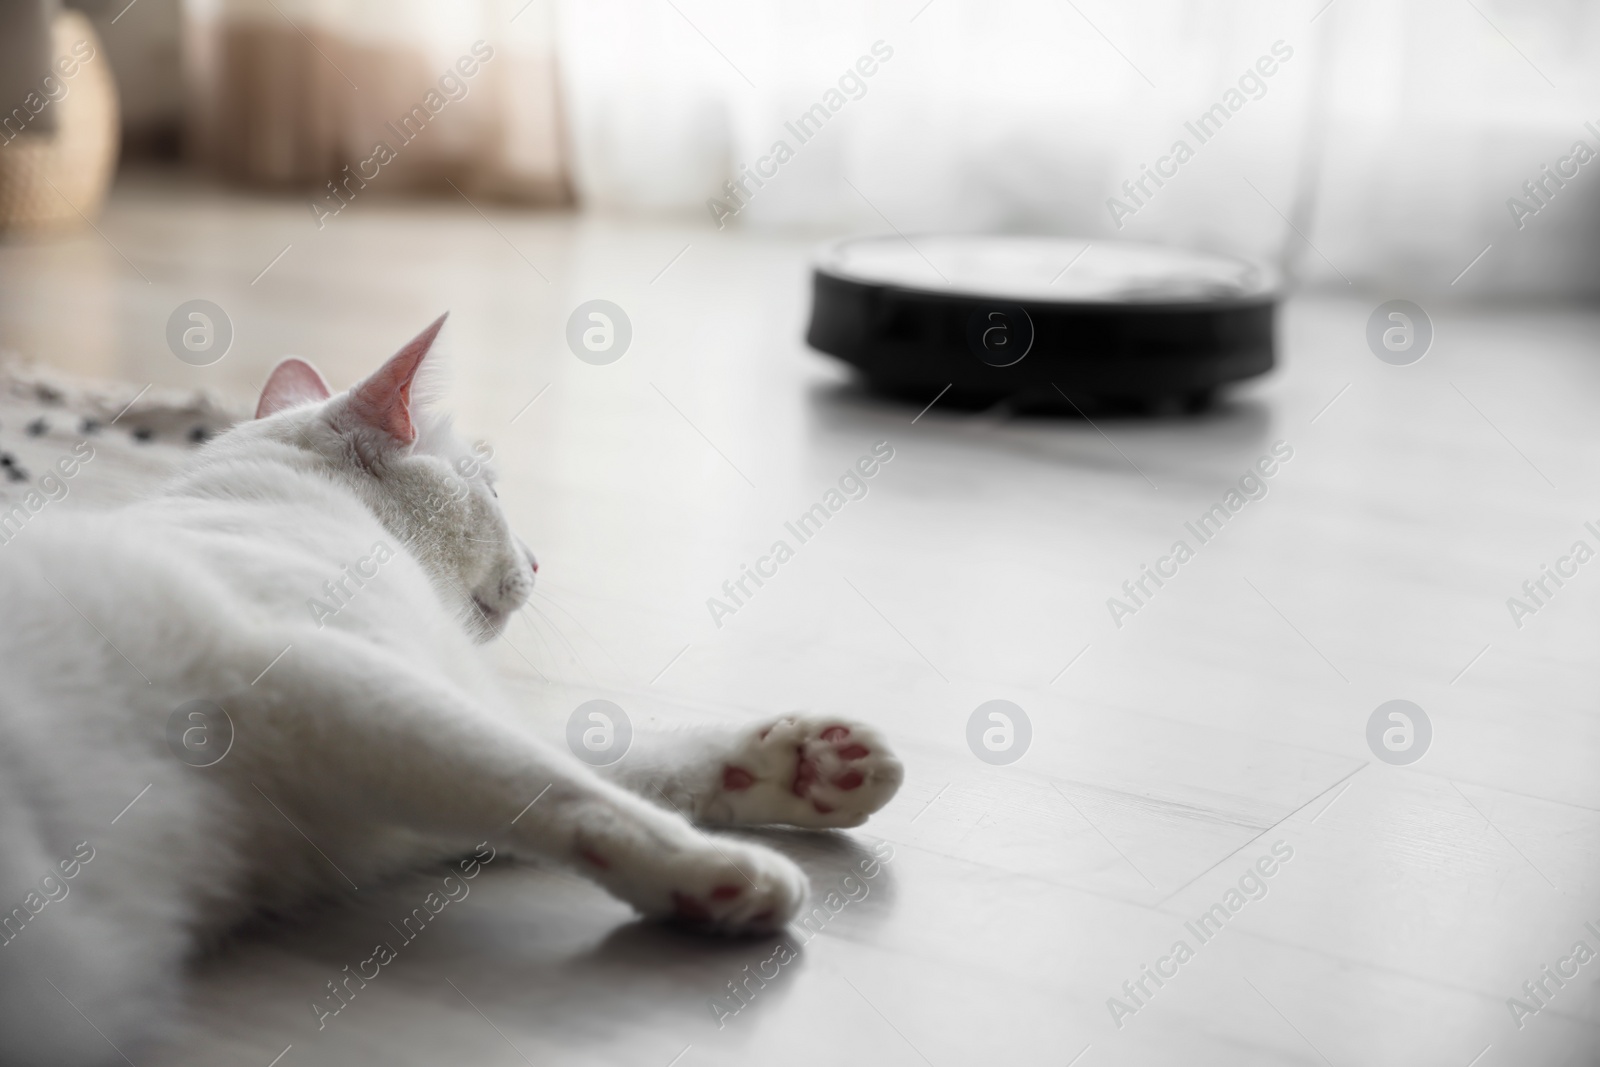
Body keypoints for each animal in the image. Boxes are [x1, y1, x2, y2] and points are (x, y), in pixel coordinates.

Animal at [0, 316, 902, 1067]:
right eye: (495, 491)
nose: (539, 561)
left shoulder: (395, 778)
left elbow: (617, 761)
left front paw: (801, 765)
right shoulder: (338, 685)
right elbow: (563, 787)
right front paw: (715, 873)